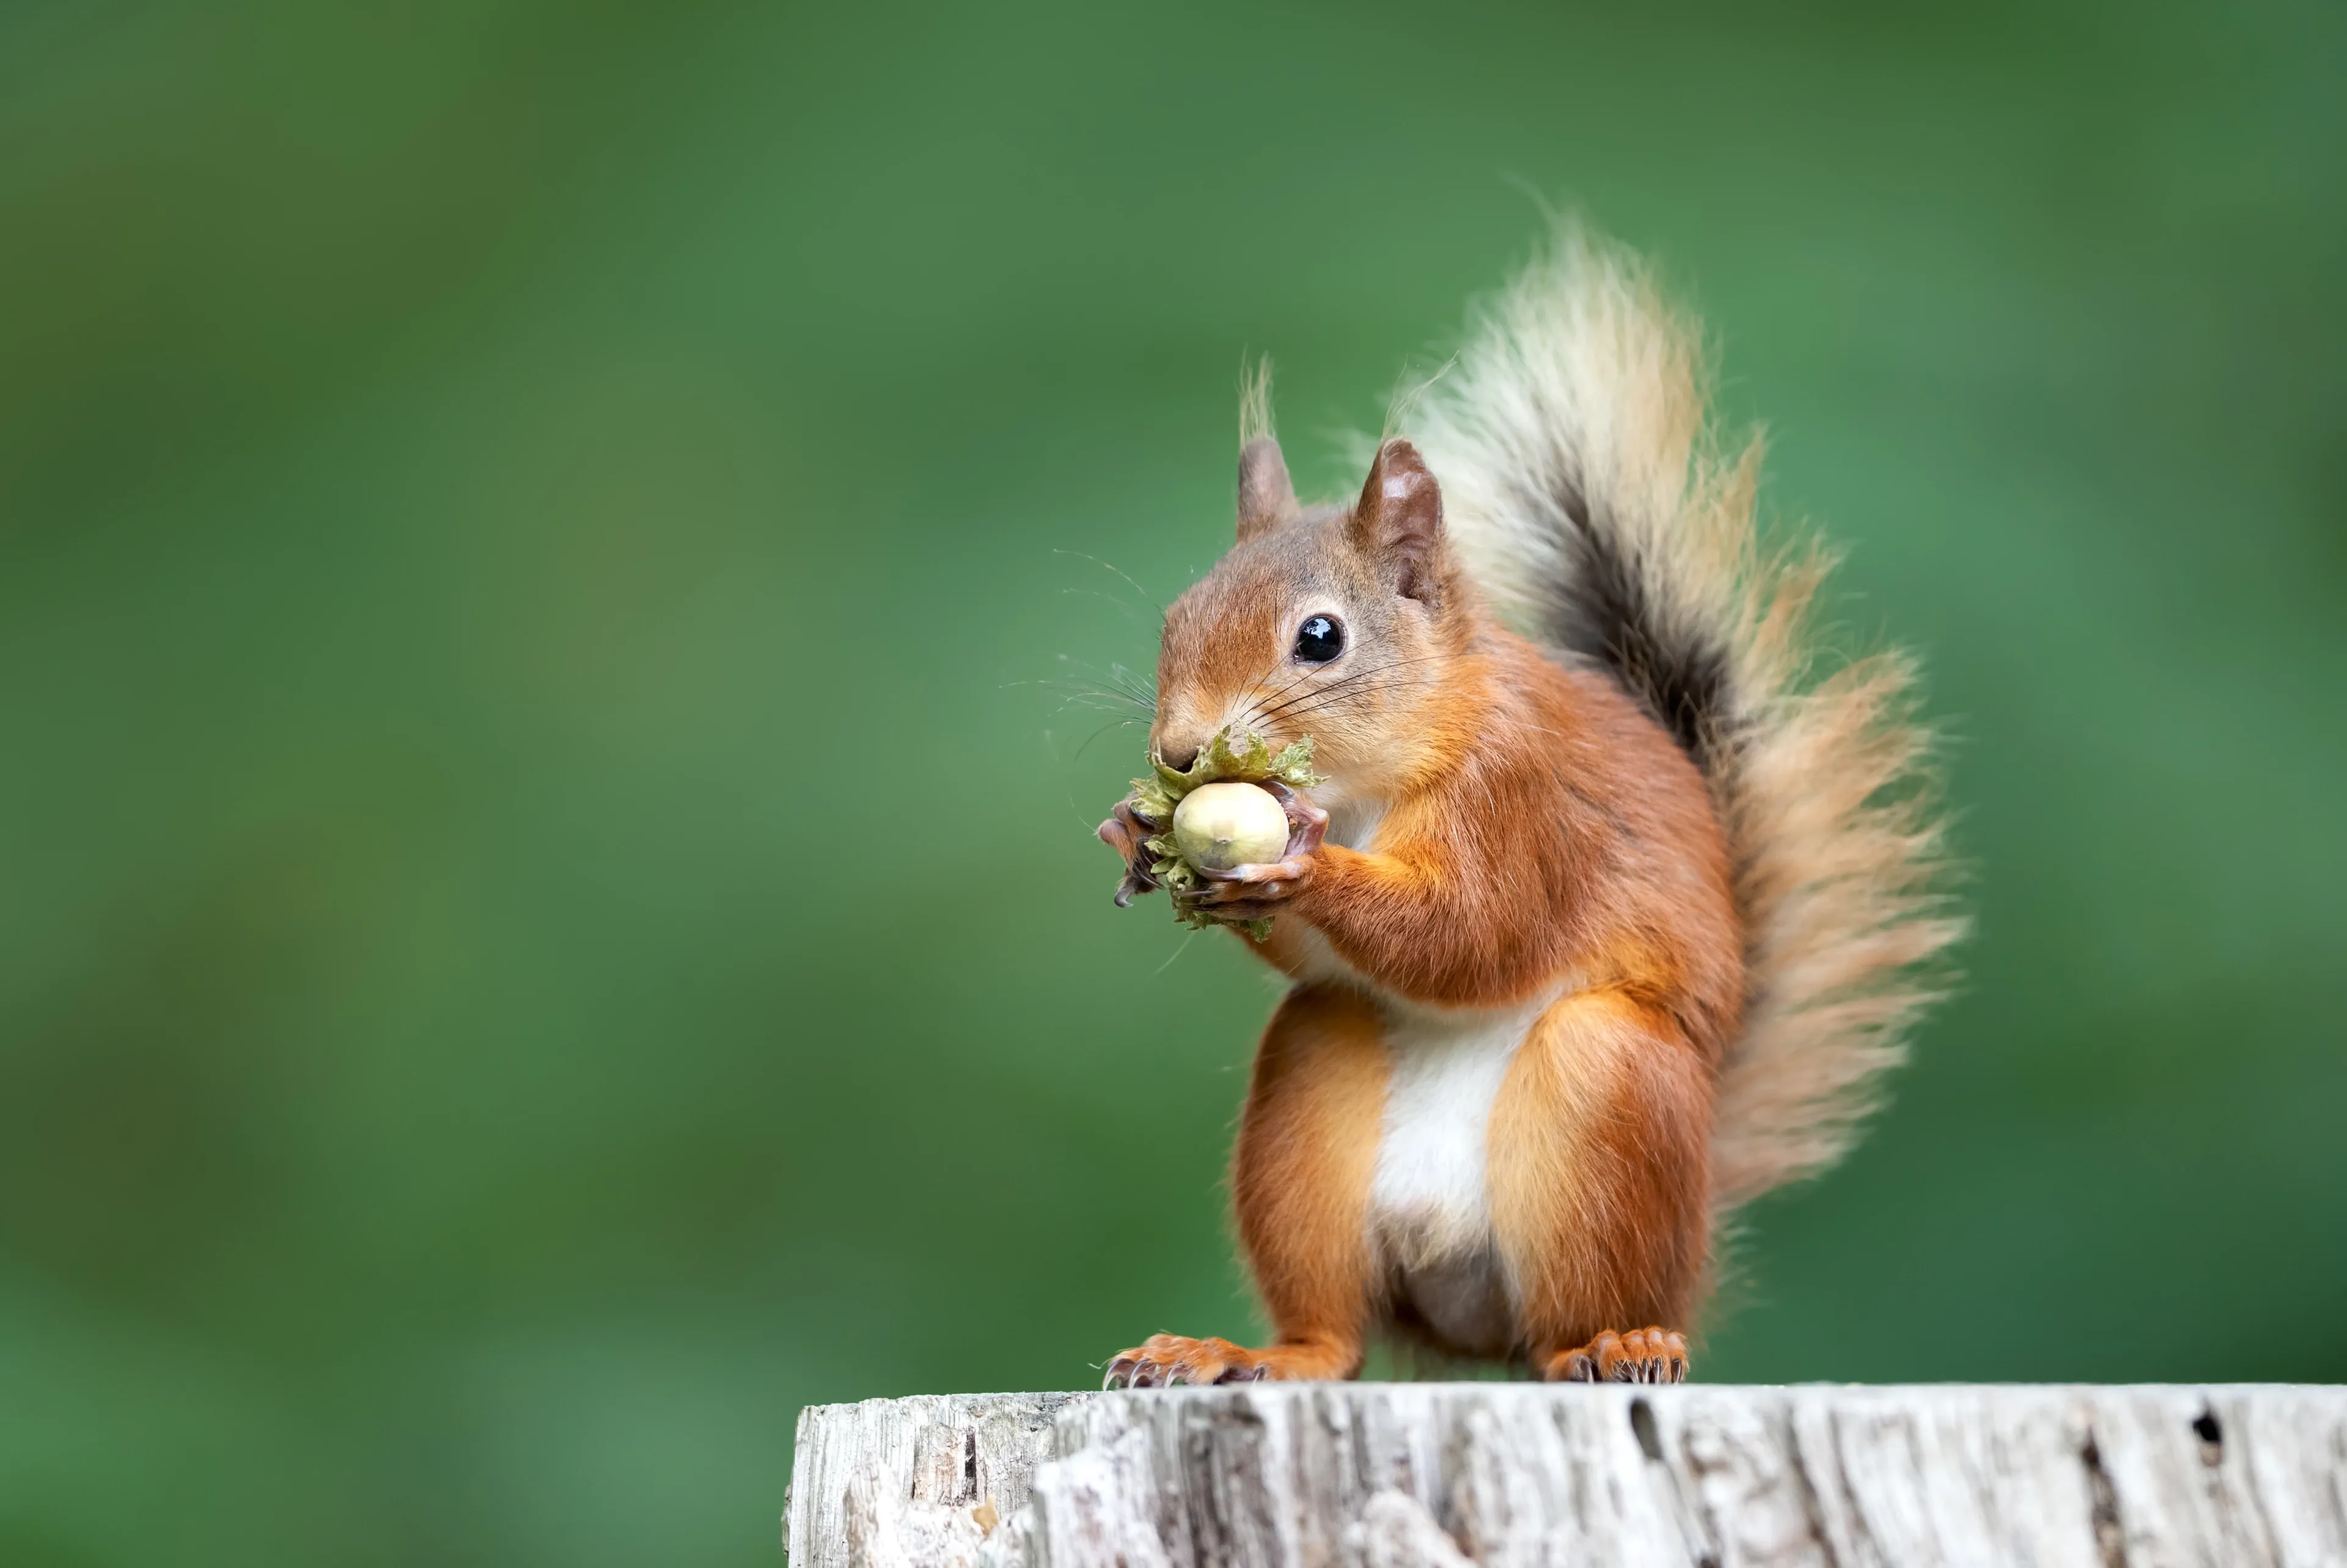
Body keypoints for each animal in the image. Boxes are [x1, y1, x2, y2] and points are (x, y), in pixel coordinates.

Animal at [1094, 225, 1962, 1386]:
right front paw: (1140, 829)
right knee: (1337, 1330)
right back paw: (1246, 1353)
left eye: (1320, 637)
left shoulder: (1522, 798)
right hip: (1313, 1104)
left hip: (1609, 1098)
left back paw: (1619, 1340)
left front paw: (1305, 862)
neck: (1376, 779)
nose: (1181, 752)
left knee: (1571, 1314)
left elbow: (1477, 931)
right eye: (1176, 618)